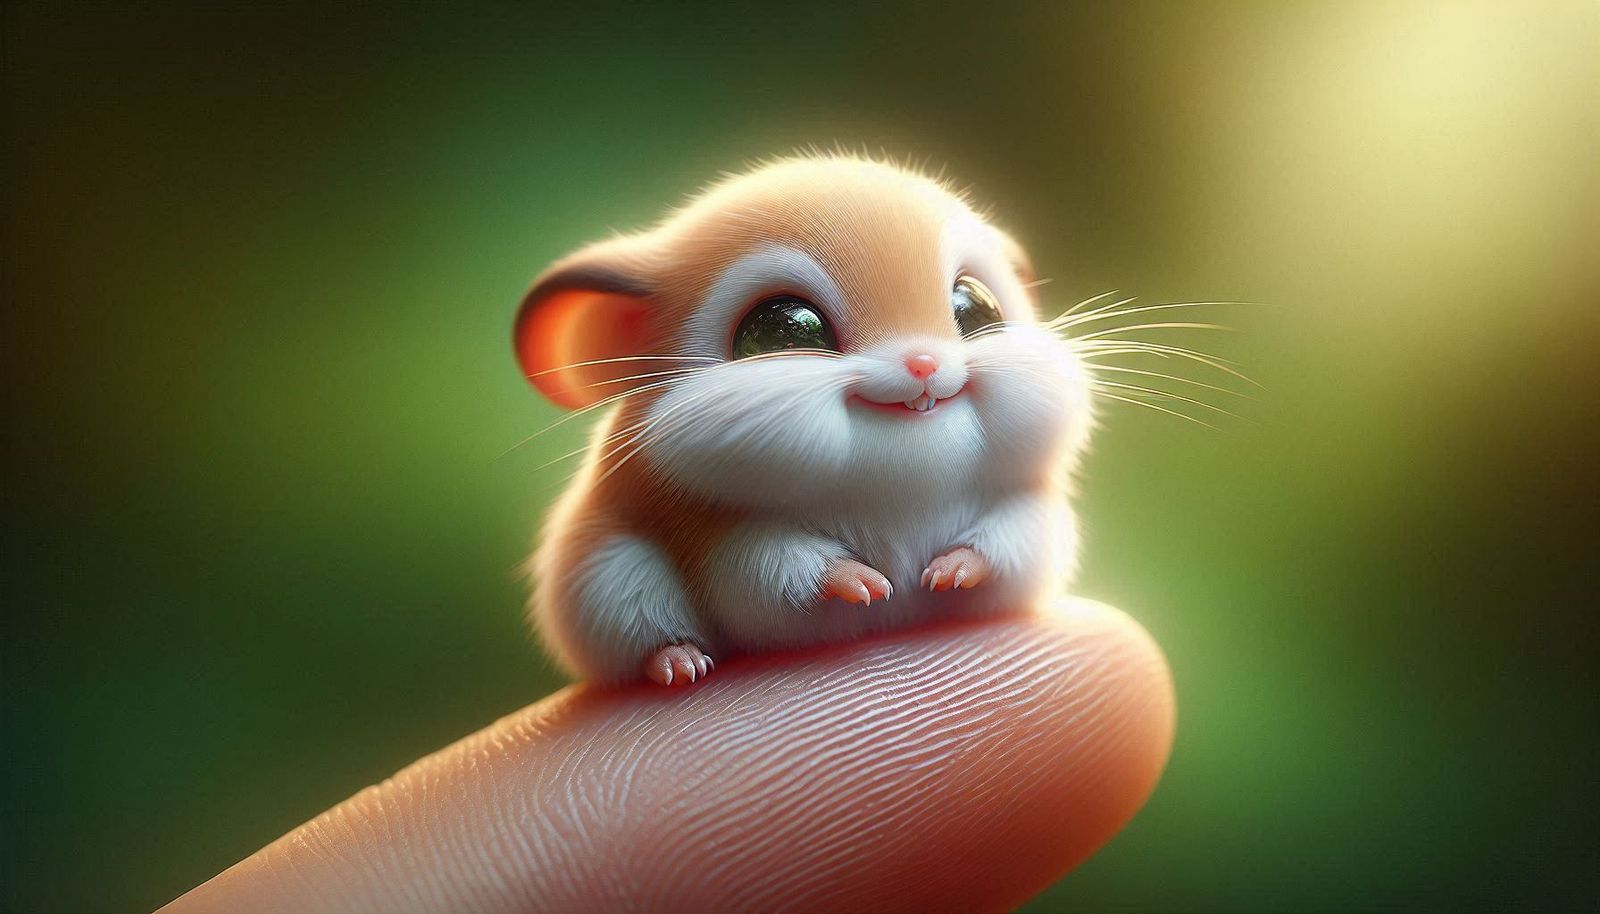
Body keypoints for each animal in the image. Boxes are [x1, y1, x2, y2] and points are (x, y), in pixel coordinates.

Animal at [513, 155, 1094, 685]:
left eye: (976, 310)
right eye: (780, 332)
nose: (924, 364)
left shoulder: (1027, 509)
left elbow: (1011, 539)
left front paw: (949, 573)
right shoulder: (725, 540)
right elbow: (772, 572)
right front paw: (863, 583)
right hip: (608, 581)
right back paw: (678, 664)